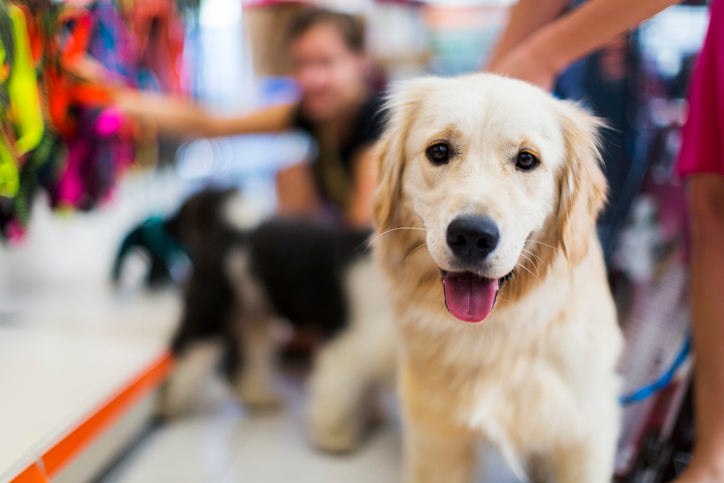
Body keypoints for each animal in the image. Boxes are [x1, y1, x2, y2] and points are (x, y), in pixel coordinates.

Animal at [160, 187, 396, 452]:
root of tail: (232, 230)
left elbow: (366, 384)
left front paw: (370, 413)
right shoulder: (348, 341)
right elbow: (336, 392)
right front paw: (335, 435)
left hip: (252, 315)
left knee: (244, 363)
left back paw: (257, 395)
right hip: (208, 311)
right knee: (185, 351)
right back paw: (169, 402)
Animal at [374, 73, 624, 483]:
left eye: (526, 159)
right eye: (438, 151)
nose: (472, 236)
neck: (492, 336)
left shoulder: (583, 432)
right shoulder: (436, 440)